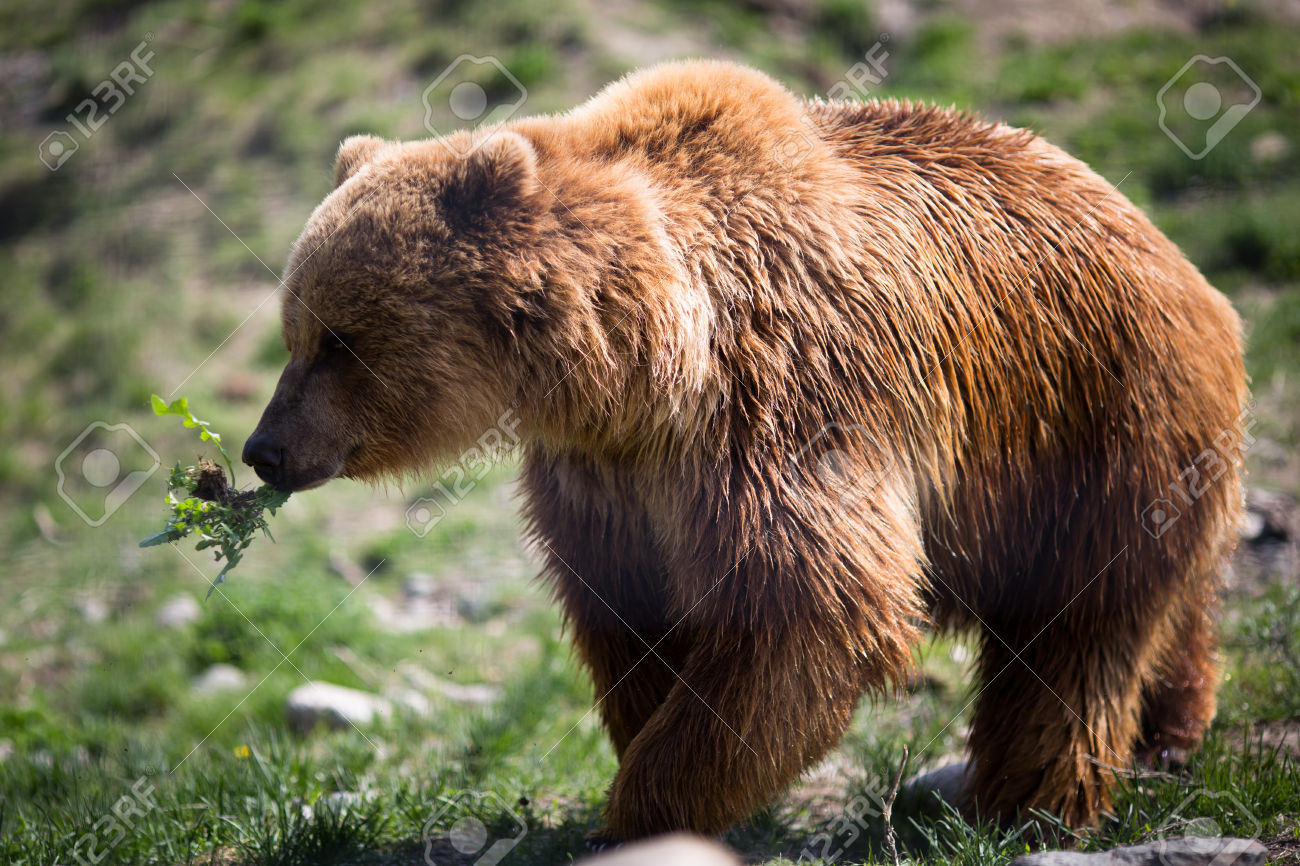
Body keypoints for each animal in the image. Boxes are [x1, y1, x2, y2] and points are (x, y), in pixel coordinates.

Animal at [244, 60, 1248, 842]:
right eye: (292, 330)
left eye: (340, 339)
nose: (264, 449)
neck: (639, 367)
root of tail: (1197, 277)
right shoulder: (610, 479)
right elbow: (635, 620)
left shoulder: (779, 406)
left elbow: (807, 610)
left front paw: (642, 810)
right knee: (1164, 606)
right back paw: (1172, 722)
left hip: (1103, 424)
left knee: (1076, 636)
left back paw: (1027, 801)